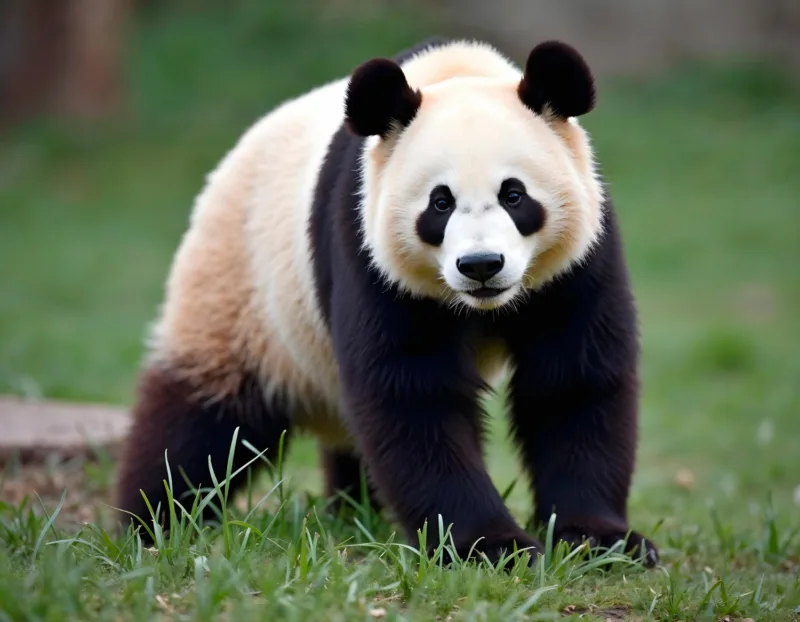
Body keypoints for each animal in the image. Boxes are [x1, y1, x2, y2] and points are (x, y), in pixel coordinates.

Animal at [115, 36, 659, 567]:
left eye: (514, 195)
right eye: (440, 203)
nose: (481, 265)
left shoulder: (577, 264)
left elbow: (573, 381)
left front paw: (602, 540)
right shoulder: (369, 252)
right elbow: (412, 394)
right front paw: (490, 546)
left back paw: (352, 509)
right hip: (241, 288)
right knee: (203, 418)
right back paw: (153, 521)